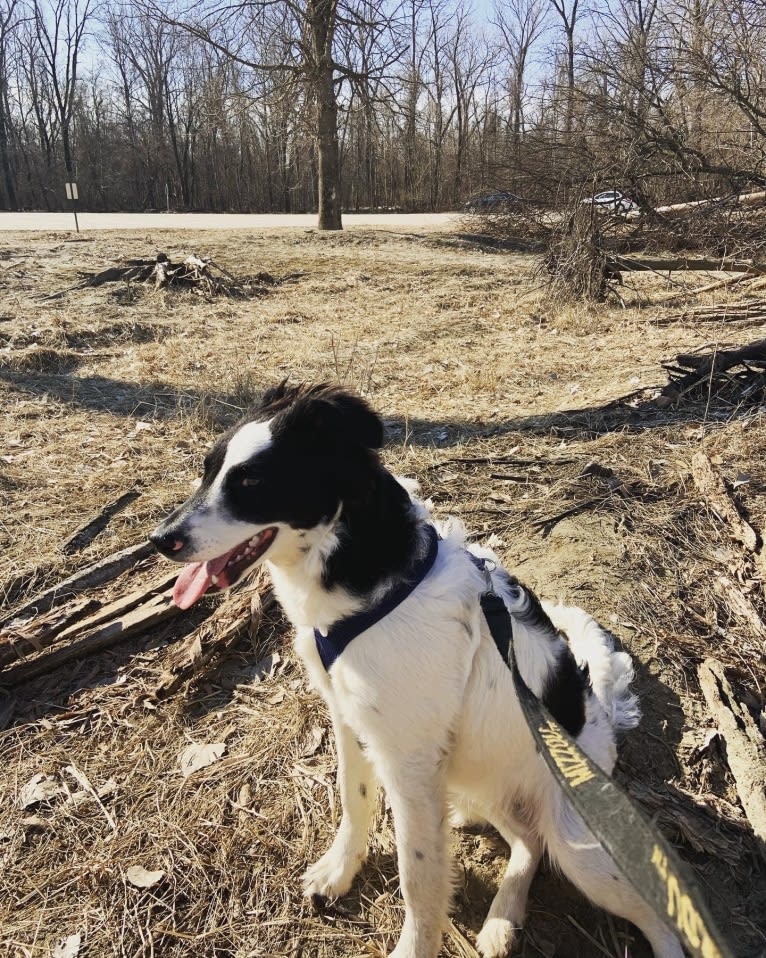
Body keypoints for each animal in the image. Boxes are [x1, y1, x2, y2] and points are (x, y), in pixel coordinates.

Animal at [150, 382, 684, 958]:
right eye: (207, 471)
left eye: (251, 481)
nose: (161, 540)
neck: (362, 570)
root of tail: (600, 724)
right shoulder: (352, 721)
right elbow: (353, 798)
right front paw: (340, 871)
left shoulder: (409, 762)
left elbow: (419, 876)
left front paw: (413, 944)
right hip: (477, 782)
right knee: (528, 842)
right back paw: (501, 920)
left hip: (578, 844)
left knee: (651, 911)